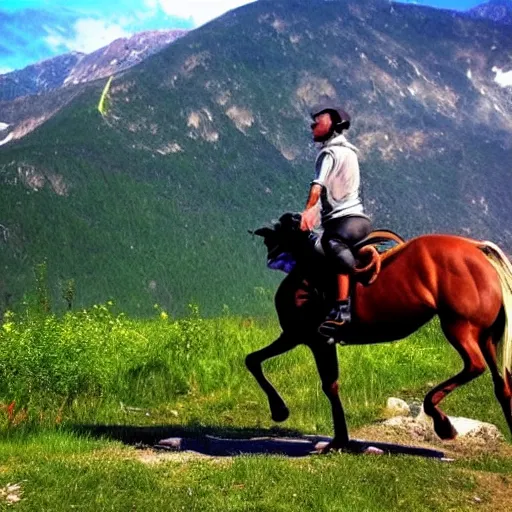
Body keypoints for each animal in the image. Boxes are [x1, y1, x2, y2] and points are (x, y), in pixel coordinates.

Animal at [247, 212, 512, 452]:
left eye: (274, 236)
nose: (270, 253)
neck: (307, 274)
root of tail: (476, 248)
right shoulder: (307, 339)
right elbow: (255, 361)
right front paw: (336, 439)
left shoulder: (306, 338)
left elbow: (326, 385)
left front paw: (283, 412)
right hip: (486, 336)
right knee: (502, 385)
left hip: (459, 327)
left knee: (474, 366)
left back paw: (442, 423)